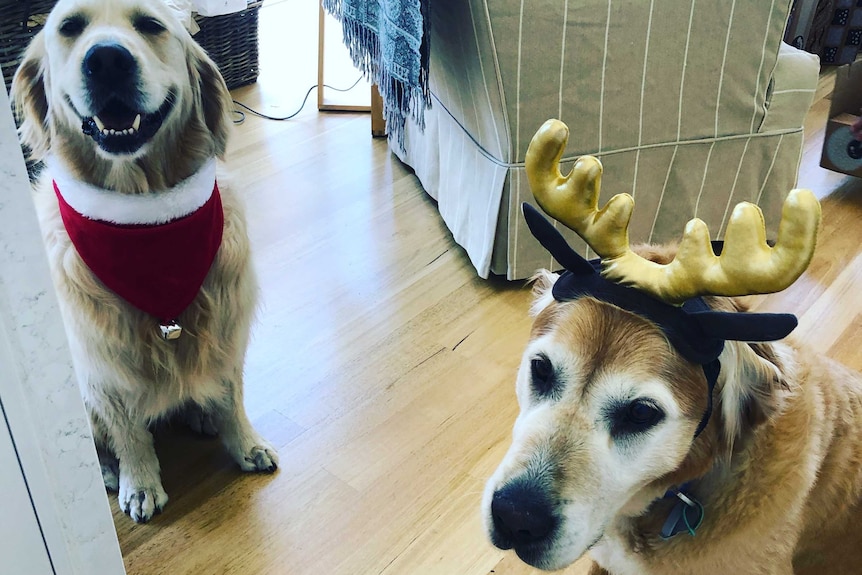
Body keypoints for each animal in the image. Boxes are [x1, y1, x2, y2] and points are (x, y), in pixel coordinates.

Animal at [11, 0, 278, 524]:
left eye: (151, 25)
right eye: (70, 27)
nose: (107, 60)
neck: (146, 221)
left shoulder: (227, 326)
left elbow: (232, 394)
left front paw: (244, 442)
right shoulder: (101, 363)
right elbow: (128, 430)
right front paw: (139, 481)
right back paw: (108, 472)